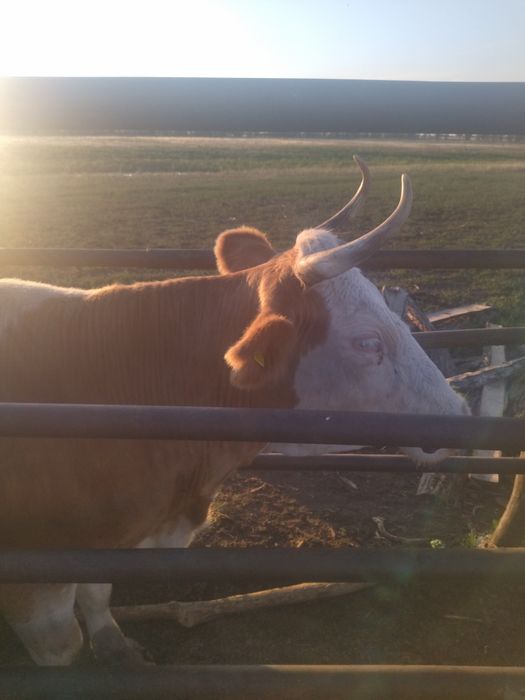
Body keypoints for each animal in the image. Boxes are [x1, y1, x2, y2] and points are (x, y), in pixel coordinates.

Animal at [0, 158, 469, 666]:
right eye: (367, 342)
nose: (460, 412)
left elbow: (97, 593)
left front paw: (115, 645)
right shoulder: (36, 584)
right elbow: (62, 647)